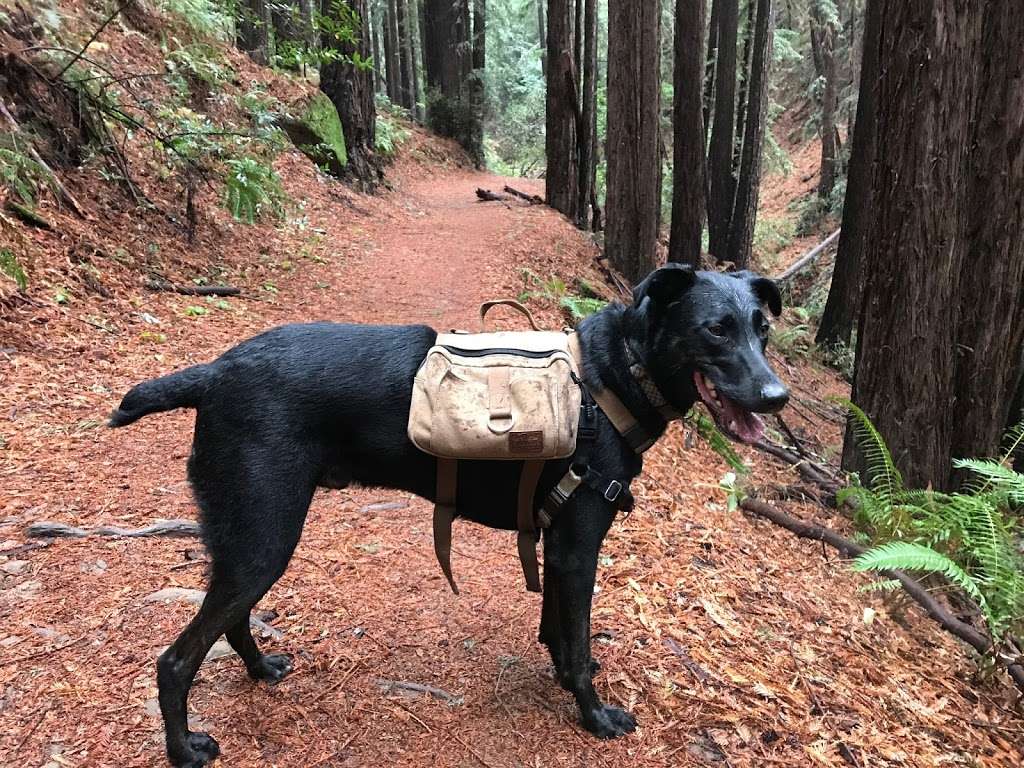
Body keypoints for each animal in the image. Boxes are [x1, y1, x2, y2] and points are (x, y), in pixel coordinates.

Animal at [110, 264, 782, 765]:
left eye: (762, 332)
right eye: (716, 330)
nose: (778, 397)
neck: (614, 375)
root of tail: (215, 372)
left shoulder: (554, 541)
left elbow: (559, 633)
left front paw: (565, 673)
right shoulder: (577, 548)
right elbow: (576, 641)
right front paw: (593, 715)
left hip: (252, 539)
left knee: (231, 622)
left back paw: (259, 668)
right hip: (264, 538)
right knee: (175, 662)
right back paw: (184, 749)